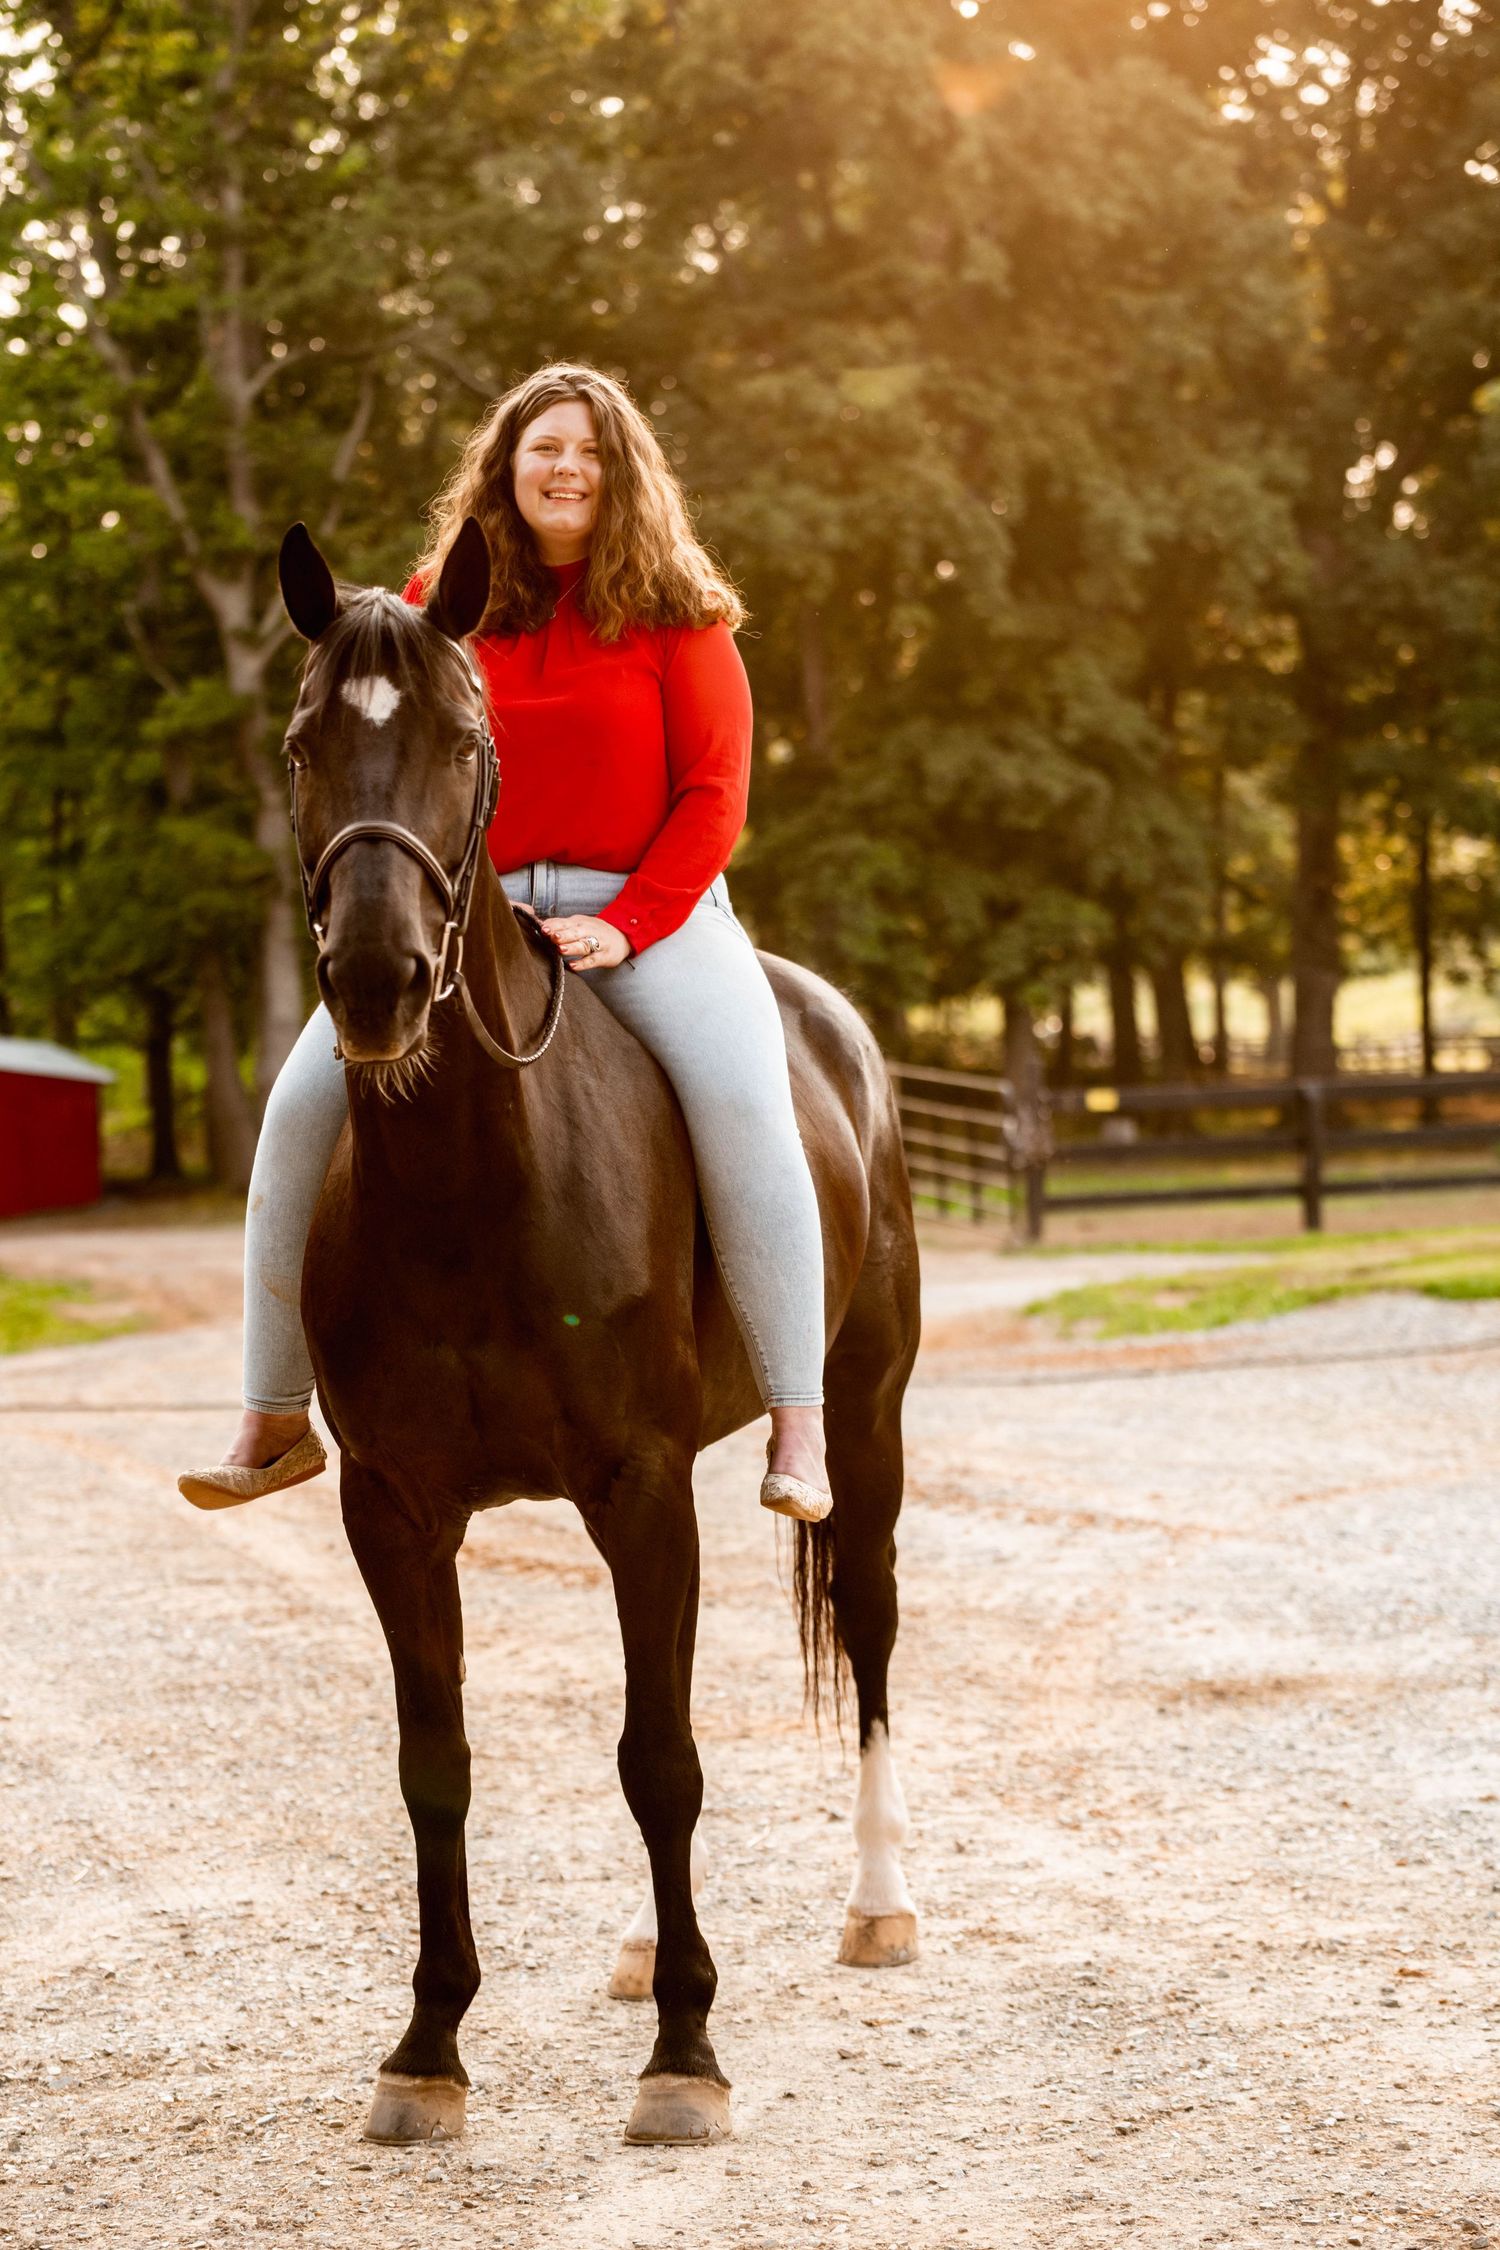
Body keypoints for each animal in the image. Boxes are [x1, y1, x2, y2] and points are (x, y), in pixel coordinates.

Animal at [274, 515, 921, 2146]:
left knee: (870, 1628)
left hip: (866, 1420)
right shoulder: (399, 1511)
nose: (376, 980)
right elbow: (440, 1764)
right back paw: (638, 1947)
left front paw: (688, 2052)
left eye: (463, 738)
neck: (470, 1185)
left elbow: (663, 1761)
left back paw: (879, 1902)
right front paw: (427, 2046)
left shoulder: (640, 1487)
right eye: (306, 742)